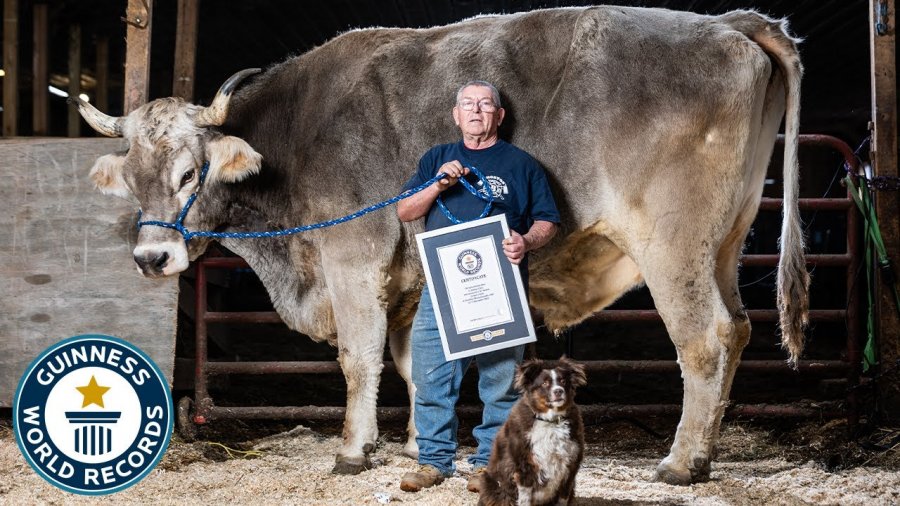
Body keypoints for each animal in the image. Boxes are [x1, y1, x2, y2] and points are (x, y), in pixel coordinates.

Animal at [75, 5, 808, 484]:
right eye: (133, 178)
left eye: (189, 173)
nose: (152, 258)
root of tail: (728, 22)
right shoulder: (408, 280)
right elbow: (412, 364)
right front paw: (414, 447)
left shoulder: (352, 256)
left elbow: (359, 360)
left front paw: (354, 450)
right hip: (725, 243)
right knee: (740, 328)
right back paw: (706, 449)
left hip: (673, 248)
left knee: (706, 338)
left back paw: (683, 462)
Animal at [478, 356, 592, 506]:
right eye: (544, 383)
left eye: (563, 381)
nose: (559, 391)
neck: (551, 421)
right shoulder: (524, 466)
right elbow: (524, 498)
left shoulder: (570, 467)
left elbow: (563, 497)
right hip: (492, 483)